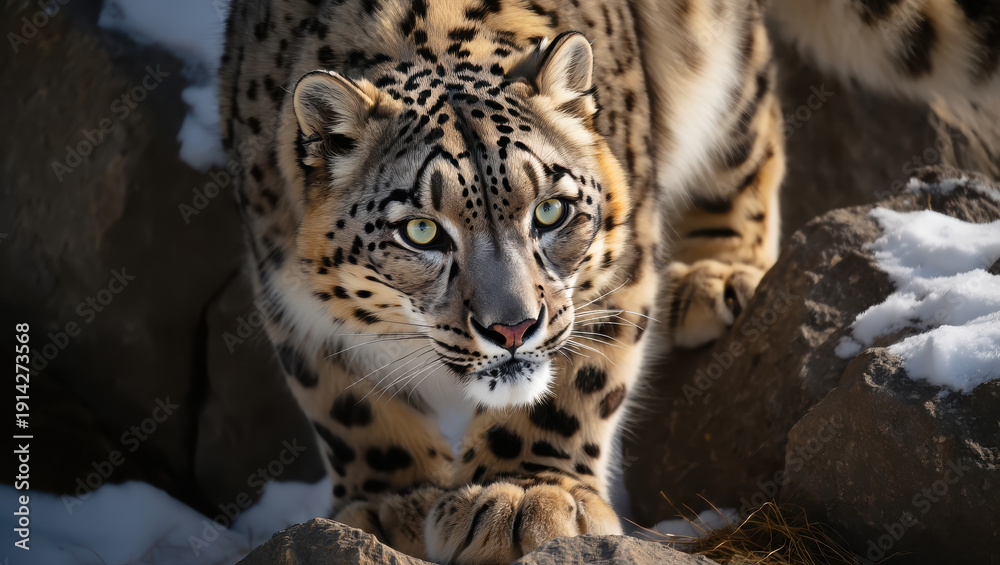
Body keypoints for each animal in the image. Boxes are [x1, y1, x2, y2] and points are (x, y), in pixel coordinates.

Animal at [218, 0, 1000, 562]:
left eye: (552, 210)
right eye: (421, 231)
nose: (512, 327)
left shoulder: (618, 264)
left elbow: (578, 379)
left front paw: (520, 496)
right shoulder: (284, 288)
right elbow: (346, 398)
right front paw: (391, 505)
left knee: (750, 115)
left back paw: (716, 272)